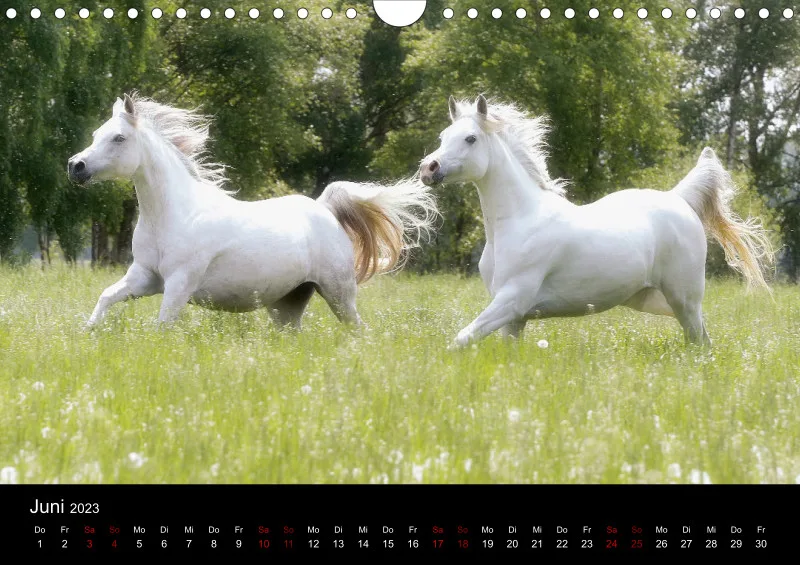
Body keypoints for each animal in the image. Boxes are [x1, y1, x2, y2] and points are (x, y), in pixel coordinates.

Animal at [68, 93, 438, 330]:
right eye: (96, 134)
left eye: (118, 138)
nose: (76, 166)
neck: (172, 215)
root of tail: (324, 209)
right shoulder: (144, 277)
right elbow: (105, 298)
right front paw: (87, 333)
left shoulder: (179, 283)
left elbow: (162, 326)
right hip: (288, 303)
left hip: (339, 293)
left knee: (358, 330)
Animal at [419, 95, 775, 349]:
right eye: (443, 136)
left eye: (470, 139)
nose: (428, 168)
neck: (516, 222)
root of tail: (678, 199)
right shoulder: (514, 318)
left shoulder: (512, 299)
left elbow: (461, 339)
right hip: (656, 300)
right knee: (703, 338)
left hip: (684, 298)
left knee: (699, 341)